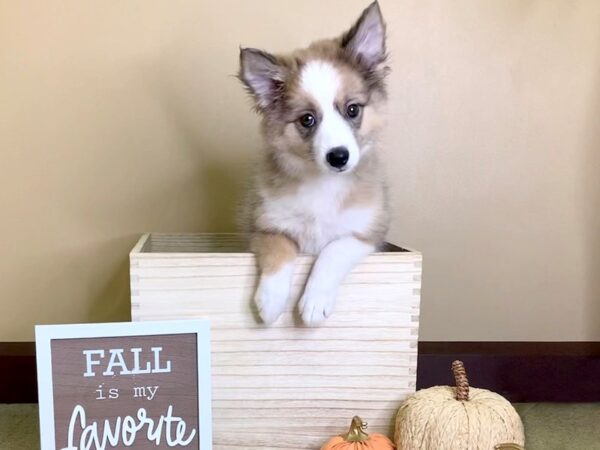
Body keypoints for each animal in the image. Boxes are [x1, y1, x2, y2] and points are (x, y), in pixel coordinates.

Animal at [237, 1, 392, 326]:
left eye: (352, 109)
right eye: (307, 119)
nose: (339, 156)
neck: (323, 183)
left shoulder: (367, 234)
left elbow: (333, 250)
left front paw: (314, 301)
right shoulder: (264, 226)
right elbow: (279, 249)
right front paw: (271, 299)